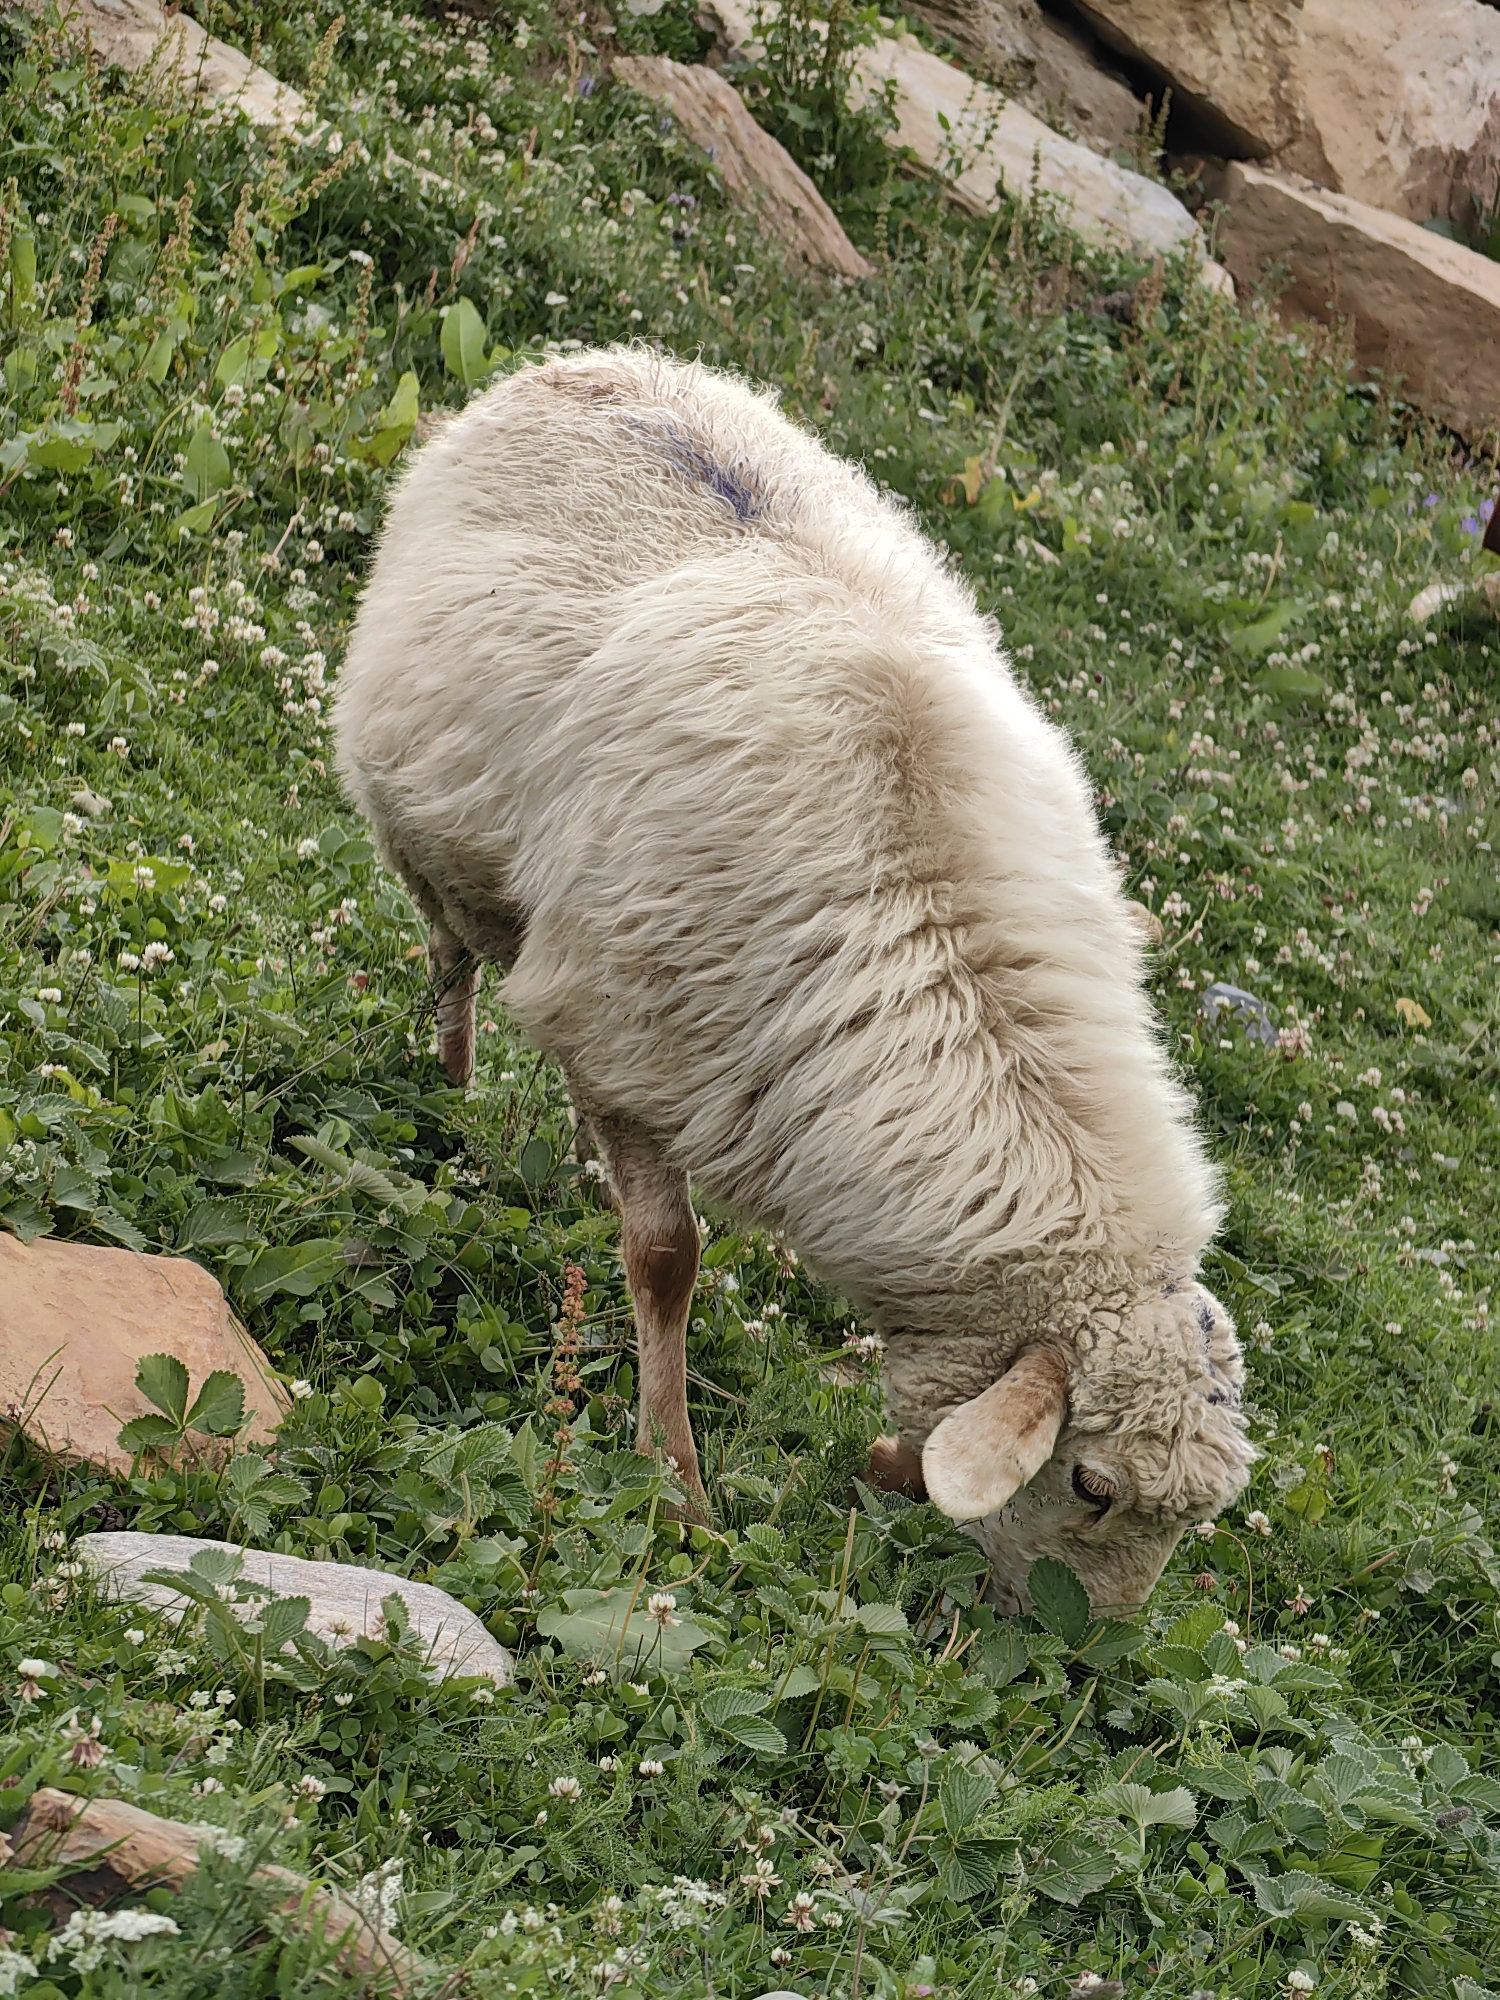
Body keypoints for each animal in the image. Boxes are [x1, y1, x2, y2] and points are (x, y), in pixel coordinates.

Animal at [334, 345, 1255, 1614]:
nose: (1083, 1652)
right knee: (453, 960)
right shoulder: (632, 1021)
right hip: (436, 842)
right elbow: (665, 1258)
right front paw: (674, 1480)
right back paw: (452, 1084)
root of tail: (579, 361)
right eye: (1093, 1483)